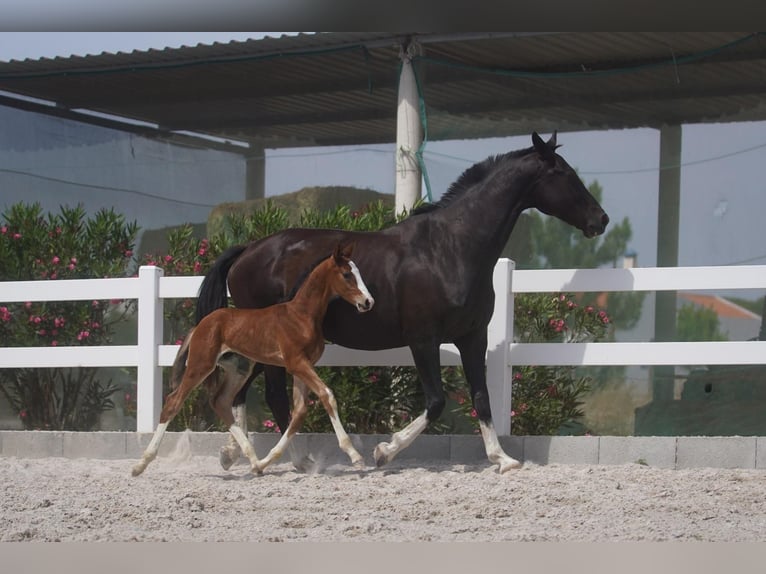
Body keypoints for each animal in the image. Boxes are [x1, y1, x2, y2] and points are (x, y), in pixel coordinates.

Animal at [134, 243, 376, 476]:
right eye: (347, 274)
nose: (368, 302)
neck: (301, 315)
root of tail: (201, 324)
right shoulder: (296, 362)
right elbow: (327, 396)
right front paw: (355, 456)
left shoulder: (303, 366)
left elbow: (299, 412)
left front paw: (271, 460)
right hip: (201, 364)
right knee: (173, 402)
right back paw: (140, 465)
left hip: (239, 368)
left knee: (220, 401)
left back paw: (254, 461)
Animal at [198, 133, 612, 474]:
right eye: (565, 174)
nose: (601, 219)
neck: (450, 249)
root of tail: (248, 251)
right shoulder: (423, 339)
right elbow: (436, 402)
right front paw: (384, 451)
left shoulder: (473, 337)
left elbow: (481, 397)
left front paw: (503, 458)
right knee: (272, 396)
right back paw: (300, 461)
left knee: (239, 394)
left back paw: (235, 454)